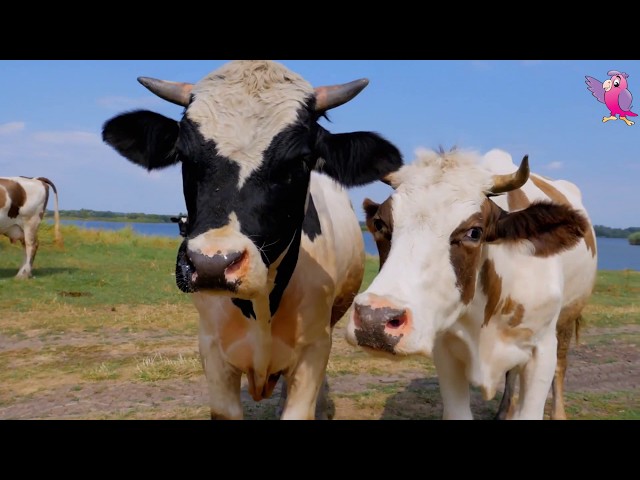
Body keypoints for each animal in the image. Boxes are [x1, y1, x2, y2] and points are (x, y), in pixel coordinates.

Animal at [102, 61, 402, 420]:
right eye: (184, 155)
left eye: (300, 160)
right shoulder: (212, 351)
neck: (260, 305)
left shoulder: (314, 349)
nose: (212, 264)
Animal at [348, 148, 596, 418]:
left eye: (474, 232)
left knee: (561, 366)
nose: (374, 319)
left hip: (568, 318)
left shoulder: (542, 349)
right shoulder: (444, 349)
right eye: (380, 224)